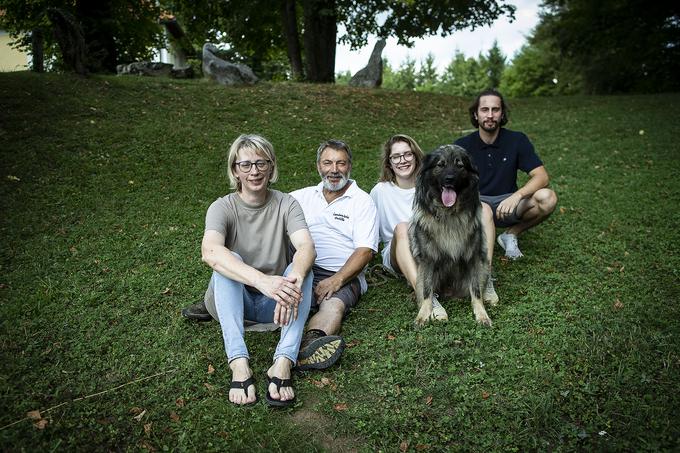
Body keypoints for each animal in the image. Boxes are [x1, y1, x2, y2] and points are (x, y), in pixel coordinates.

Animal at [406, 145, 496, 324]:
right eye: (440, 165)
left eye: (459, 165)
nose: (449, 179)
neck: (449, 214)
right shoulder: (428, 259)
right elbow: (426, 290)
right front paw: (423, 314)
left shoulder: (473, 257)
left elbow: (476, 291)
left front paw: (481, 314)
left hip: (483, 264)